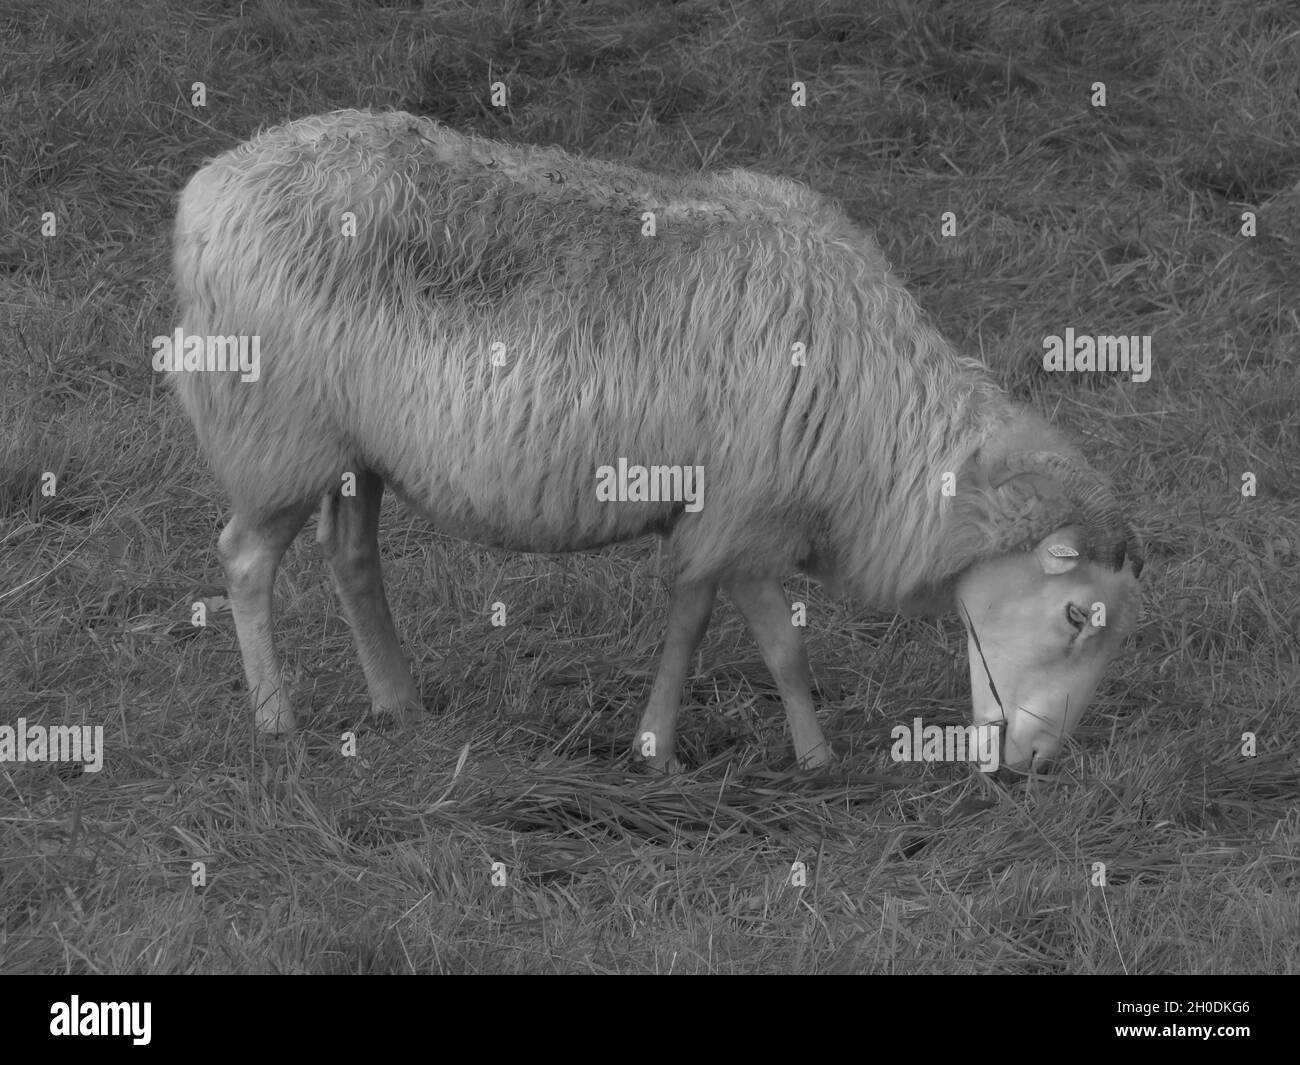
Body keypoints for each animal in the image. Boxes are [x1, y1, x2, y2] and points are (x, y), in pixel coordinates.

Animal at [167, 110, 1144, 775]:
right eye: (1074, 615)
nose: (1031, 766)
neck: (885, 425)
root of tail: (210, 189)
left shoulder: (715, 513)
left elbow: (690, 621)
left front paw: (657, 748)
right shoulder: (749, 510)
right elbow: (781, 647)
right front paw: (818, 760)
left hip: (349, 445)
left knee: (352, 554)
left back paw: (399, 702)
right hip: (276, 431)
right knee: (246, 557)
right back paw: (276, 719)